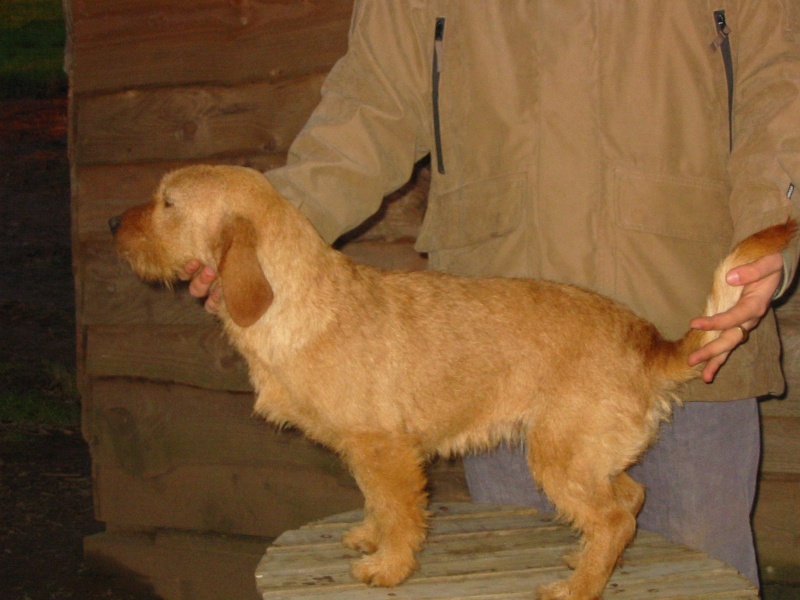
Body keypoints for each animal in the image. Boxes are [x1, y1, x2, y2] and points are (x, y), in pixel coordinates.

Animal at [111, 164, 792, 600]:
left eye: (168, 202)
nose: (114, 221)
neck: (297, 300)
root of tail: (647, 340)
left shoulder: (386, 449)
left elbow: (401, 512)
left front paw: (390, 568)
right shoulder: (367, 451)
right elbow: (376, 503)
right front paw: (370, 539)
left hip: (558, 457)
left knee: (616, 518)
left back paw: (576, 588)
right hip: (586, 456)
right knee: (628, 500)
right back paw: (584, 561)